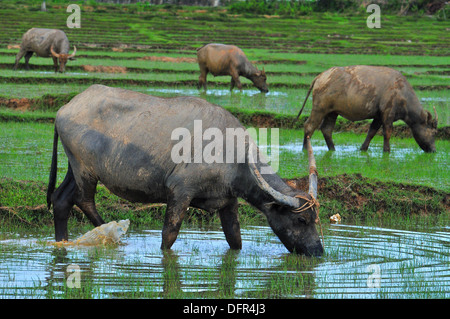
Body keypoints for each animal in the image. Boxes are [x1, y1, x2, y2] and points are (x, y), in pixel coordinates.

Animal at [47, 85, 324, 258]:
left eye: (315, 219)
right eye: (301, 220)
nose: (318, 252)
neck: (231, 154)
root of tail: (65, 109)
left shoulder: (228, 201)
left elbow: (235, 240)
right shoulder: (180, 192)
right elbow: (169, 236)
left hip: (73, 167)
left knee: (61, 200)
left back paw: (63, 242)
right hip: (85, 170)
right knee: (84, 199)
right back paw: (113, 234)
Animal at [298, 65, 438, 153]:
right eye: (434, 133)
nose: (433, 150)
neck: (403, 93)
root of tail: (321, 76)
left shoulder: (378, 117)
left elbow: (372, 132)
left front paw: (363, 148)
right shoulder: (388, 114)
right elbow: (387, 133)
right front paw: (387, 151)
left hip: (332, 112)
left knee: (326, 129)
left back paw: (333, 149)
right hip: (320, 108)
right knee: (309, 126)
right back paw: (305, 149)